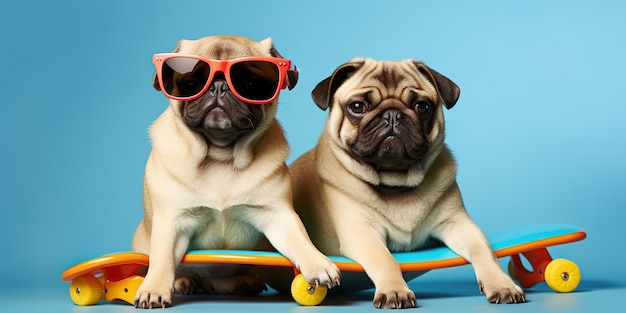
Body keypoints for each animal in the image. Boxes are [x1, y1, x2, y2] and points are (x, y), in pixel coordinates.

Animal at [129, 36, 338, 308]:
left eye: (251, 85)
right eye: (191, 84)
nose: (219, 87)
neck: (221, 156)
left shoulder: (278, 215)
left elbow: (300, 240)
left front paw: (317, 264)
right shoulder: (172, 220)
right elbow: (162, 259)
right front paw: (153, 289)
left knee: (213, 283)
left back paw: (240, 283)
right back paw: (182, 282)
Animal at [290, 58, 524, 308]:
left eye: (422, 106)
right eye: (357, 106)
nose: (393, 115)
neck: (395, 182)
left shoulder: (458, 223)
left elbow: (483, 250)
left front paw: (502, 284)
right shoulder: (362, 232)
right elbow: (385, 260)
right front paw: (395, 290)